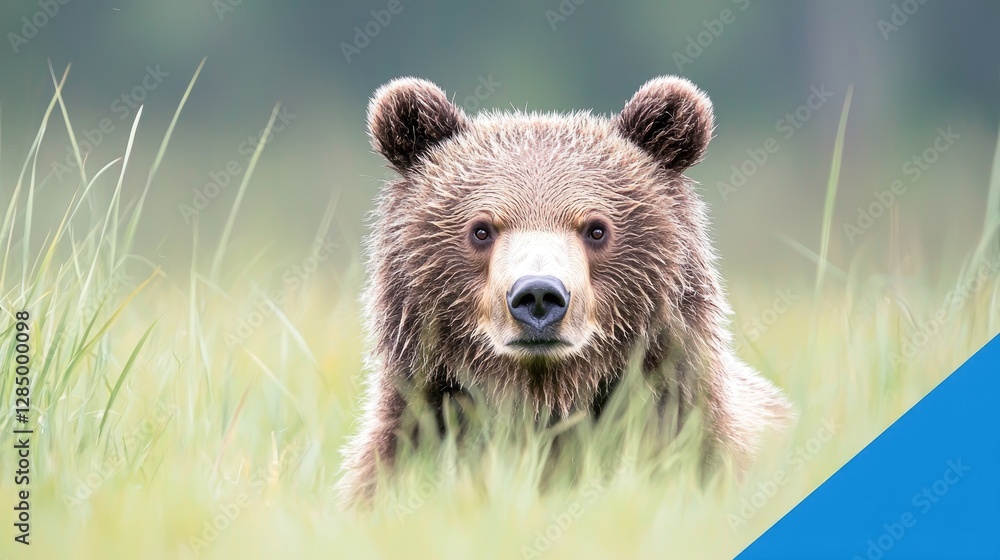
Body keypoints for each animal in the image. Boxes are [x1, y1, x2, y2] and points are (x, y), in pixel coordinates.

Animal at [337, 75, 793, 508]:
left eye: (597, 229)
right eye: (481, 229)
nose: (538, 295)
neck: (548, 398)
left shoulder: (689, 430)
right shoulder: (414, 432)